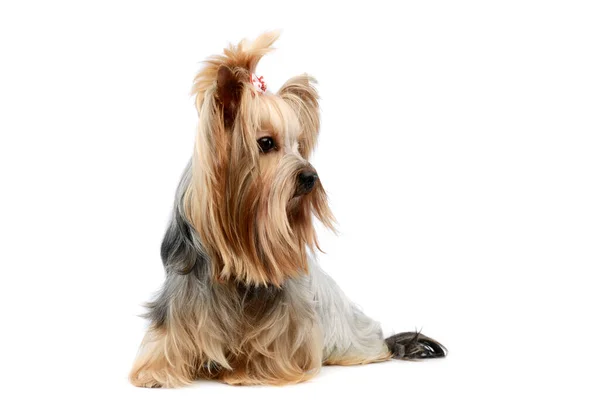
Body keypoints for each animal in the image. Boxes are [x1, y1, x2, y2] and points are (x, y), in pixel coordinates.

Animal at [130, 31, 446, 386]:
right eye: (266, 143)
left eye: (299, 146)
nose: (310, 177)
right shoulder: (183, 289)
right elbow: (169, 333)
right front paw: (157, 372)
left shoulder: (287, 307)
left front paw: (252, 371)